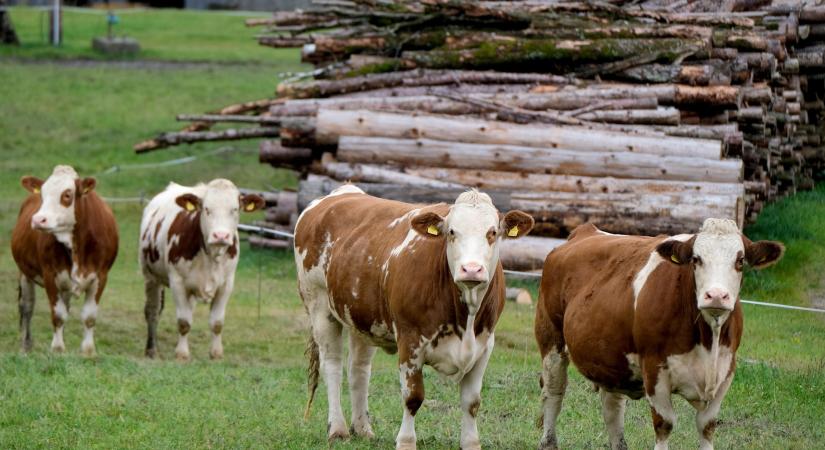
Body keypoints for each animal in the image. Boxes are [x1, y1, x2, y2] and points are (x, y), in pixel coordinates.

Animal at [10, 165, 118, 356]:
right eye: (42, 194)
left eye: (67, 195)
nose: (38, 220)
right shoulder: (50, 275)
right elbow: (58, 315)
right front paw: (58, 348)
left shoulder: (101, 276)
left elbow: (89, 316)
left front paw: (88, 351)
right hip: (25, 273)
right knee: (27, 307)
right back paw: (25, 346)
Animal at [137, 181, 262, 360]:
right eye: (206, 209)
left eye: (235, 209)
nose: (221, 235)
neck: (211, 256)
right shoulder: (177, 282)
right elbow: (184, 322)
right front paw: (182, 354)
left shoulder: (226, 284)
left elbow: (217, 323)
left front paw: (216, 353)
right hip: (151, 276)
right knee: (153, 311)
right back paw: (151, 349)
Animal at [296, 185, 536, 448]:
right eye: (451, 232)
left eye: (492, 232)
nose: (471, 269)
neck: (466, 317)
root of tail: (343, 191)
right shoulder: (409, 341)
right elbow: (413, 397)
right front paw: (406, 441)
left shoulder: (485, 344)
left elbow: (472, 402)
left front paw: (471, 443)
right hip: (319, 306)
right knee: (333, 366)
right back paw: (337, 429)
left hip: (362, 318)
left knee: (358, 370)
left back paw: (362, 428)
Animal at [536, 221, 784, 450]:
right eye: (696, 259)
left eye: (740, 261)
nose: (716, 295)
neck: (707, 342)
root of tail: (585, 231)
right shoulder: (654, 370)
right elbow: (664, 424)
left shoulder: (726, 371)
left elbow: (707, 426)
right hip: (551, 339)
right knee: (554, 392)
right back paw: (548, 442)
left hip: (611, 357)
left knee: (612, 407)